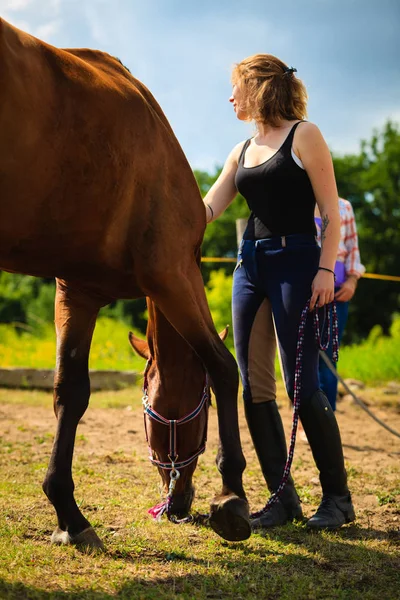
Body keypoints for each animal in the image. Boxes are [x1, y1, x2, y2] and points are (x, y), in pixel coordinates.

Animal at [0, 18, 250, 548]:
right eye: (198, 415)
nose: (179, 504)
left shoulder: (78, 291)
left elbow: (70, 392)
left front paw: (68, 514)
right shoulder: (172, 273)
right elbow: (222, 366)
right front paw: (232, 496)